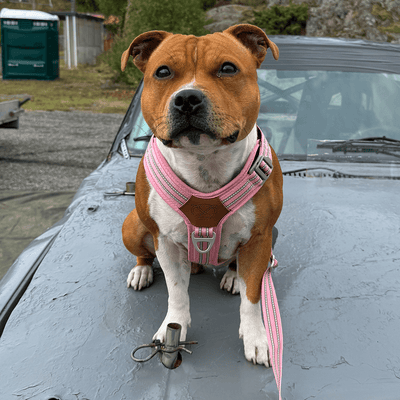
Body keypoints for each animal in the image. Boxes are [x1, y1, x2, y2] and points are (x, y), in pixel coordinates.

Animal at [120, 24, 282, 368]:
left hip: (272, 236)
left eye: (228, 68)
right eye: (162, 72)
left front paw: (256, 337)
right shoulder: (165, 242)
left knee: (239, 266)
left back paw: (233, 275)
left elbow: (252, 297)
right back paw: (142, 269)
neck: (204, 164)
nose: (187, 98)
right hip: (134, 226)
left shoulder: (261, 238)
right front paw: (173, 326)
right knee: (145, 253)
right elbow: (177, 292)